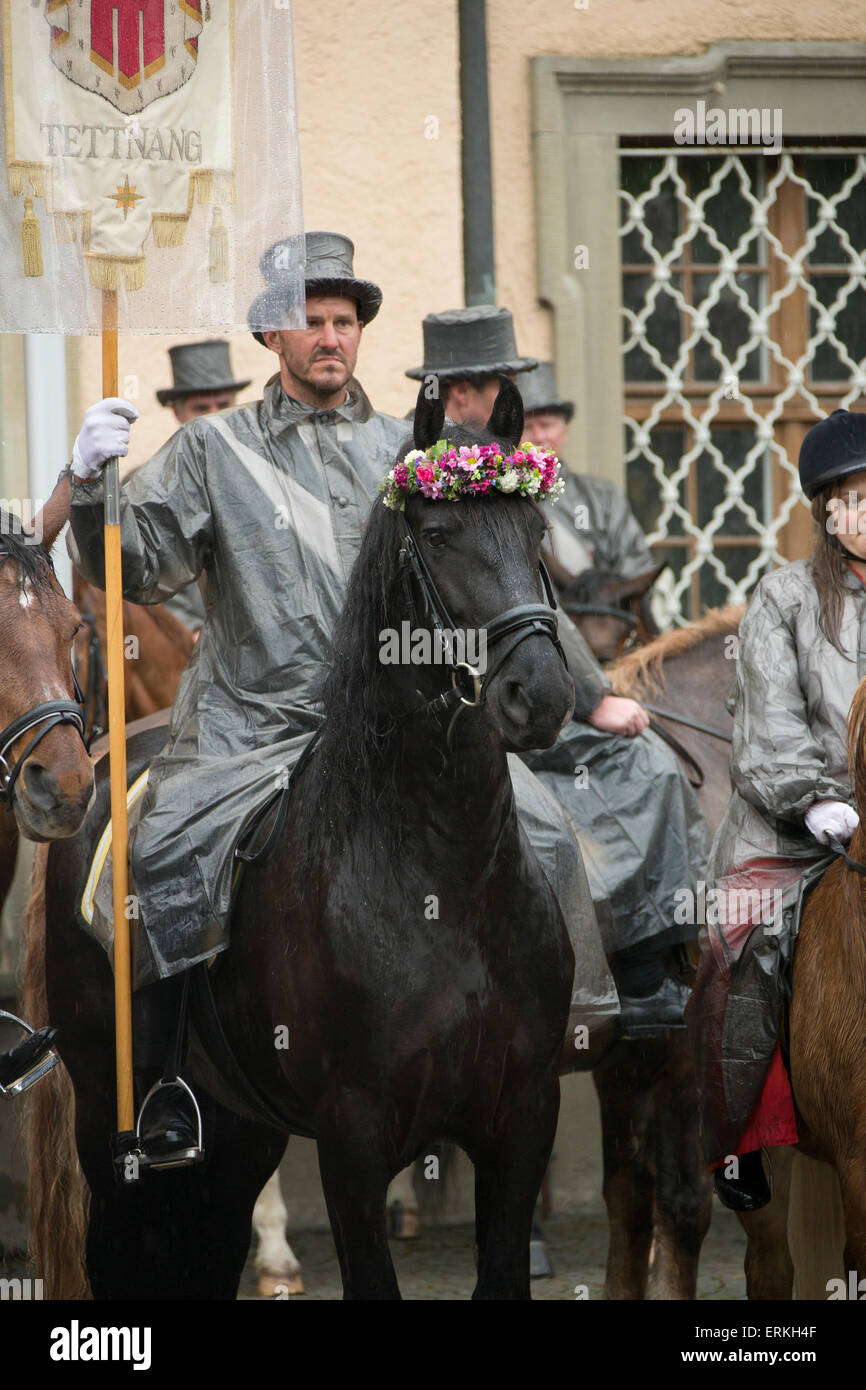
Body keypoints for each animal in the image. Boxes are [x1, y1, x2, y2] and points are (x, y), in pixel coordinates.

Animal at [30, 378, 578, 1289]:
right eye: (439, 536)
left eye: (537, 530)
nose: (539, 694)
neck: (443, 878)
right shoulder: (352, 1139)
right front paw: (97, 451)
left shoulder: (524, 1120)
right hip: (111, 1128)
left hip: (239, 1138)